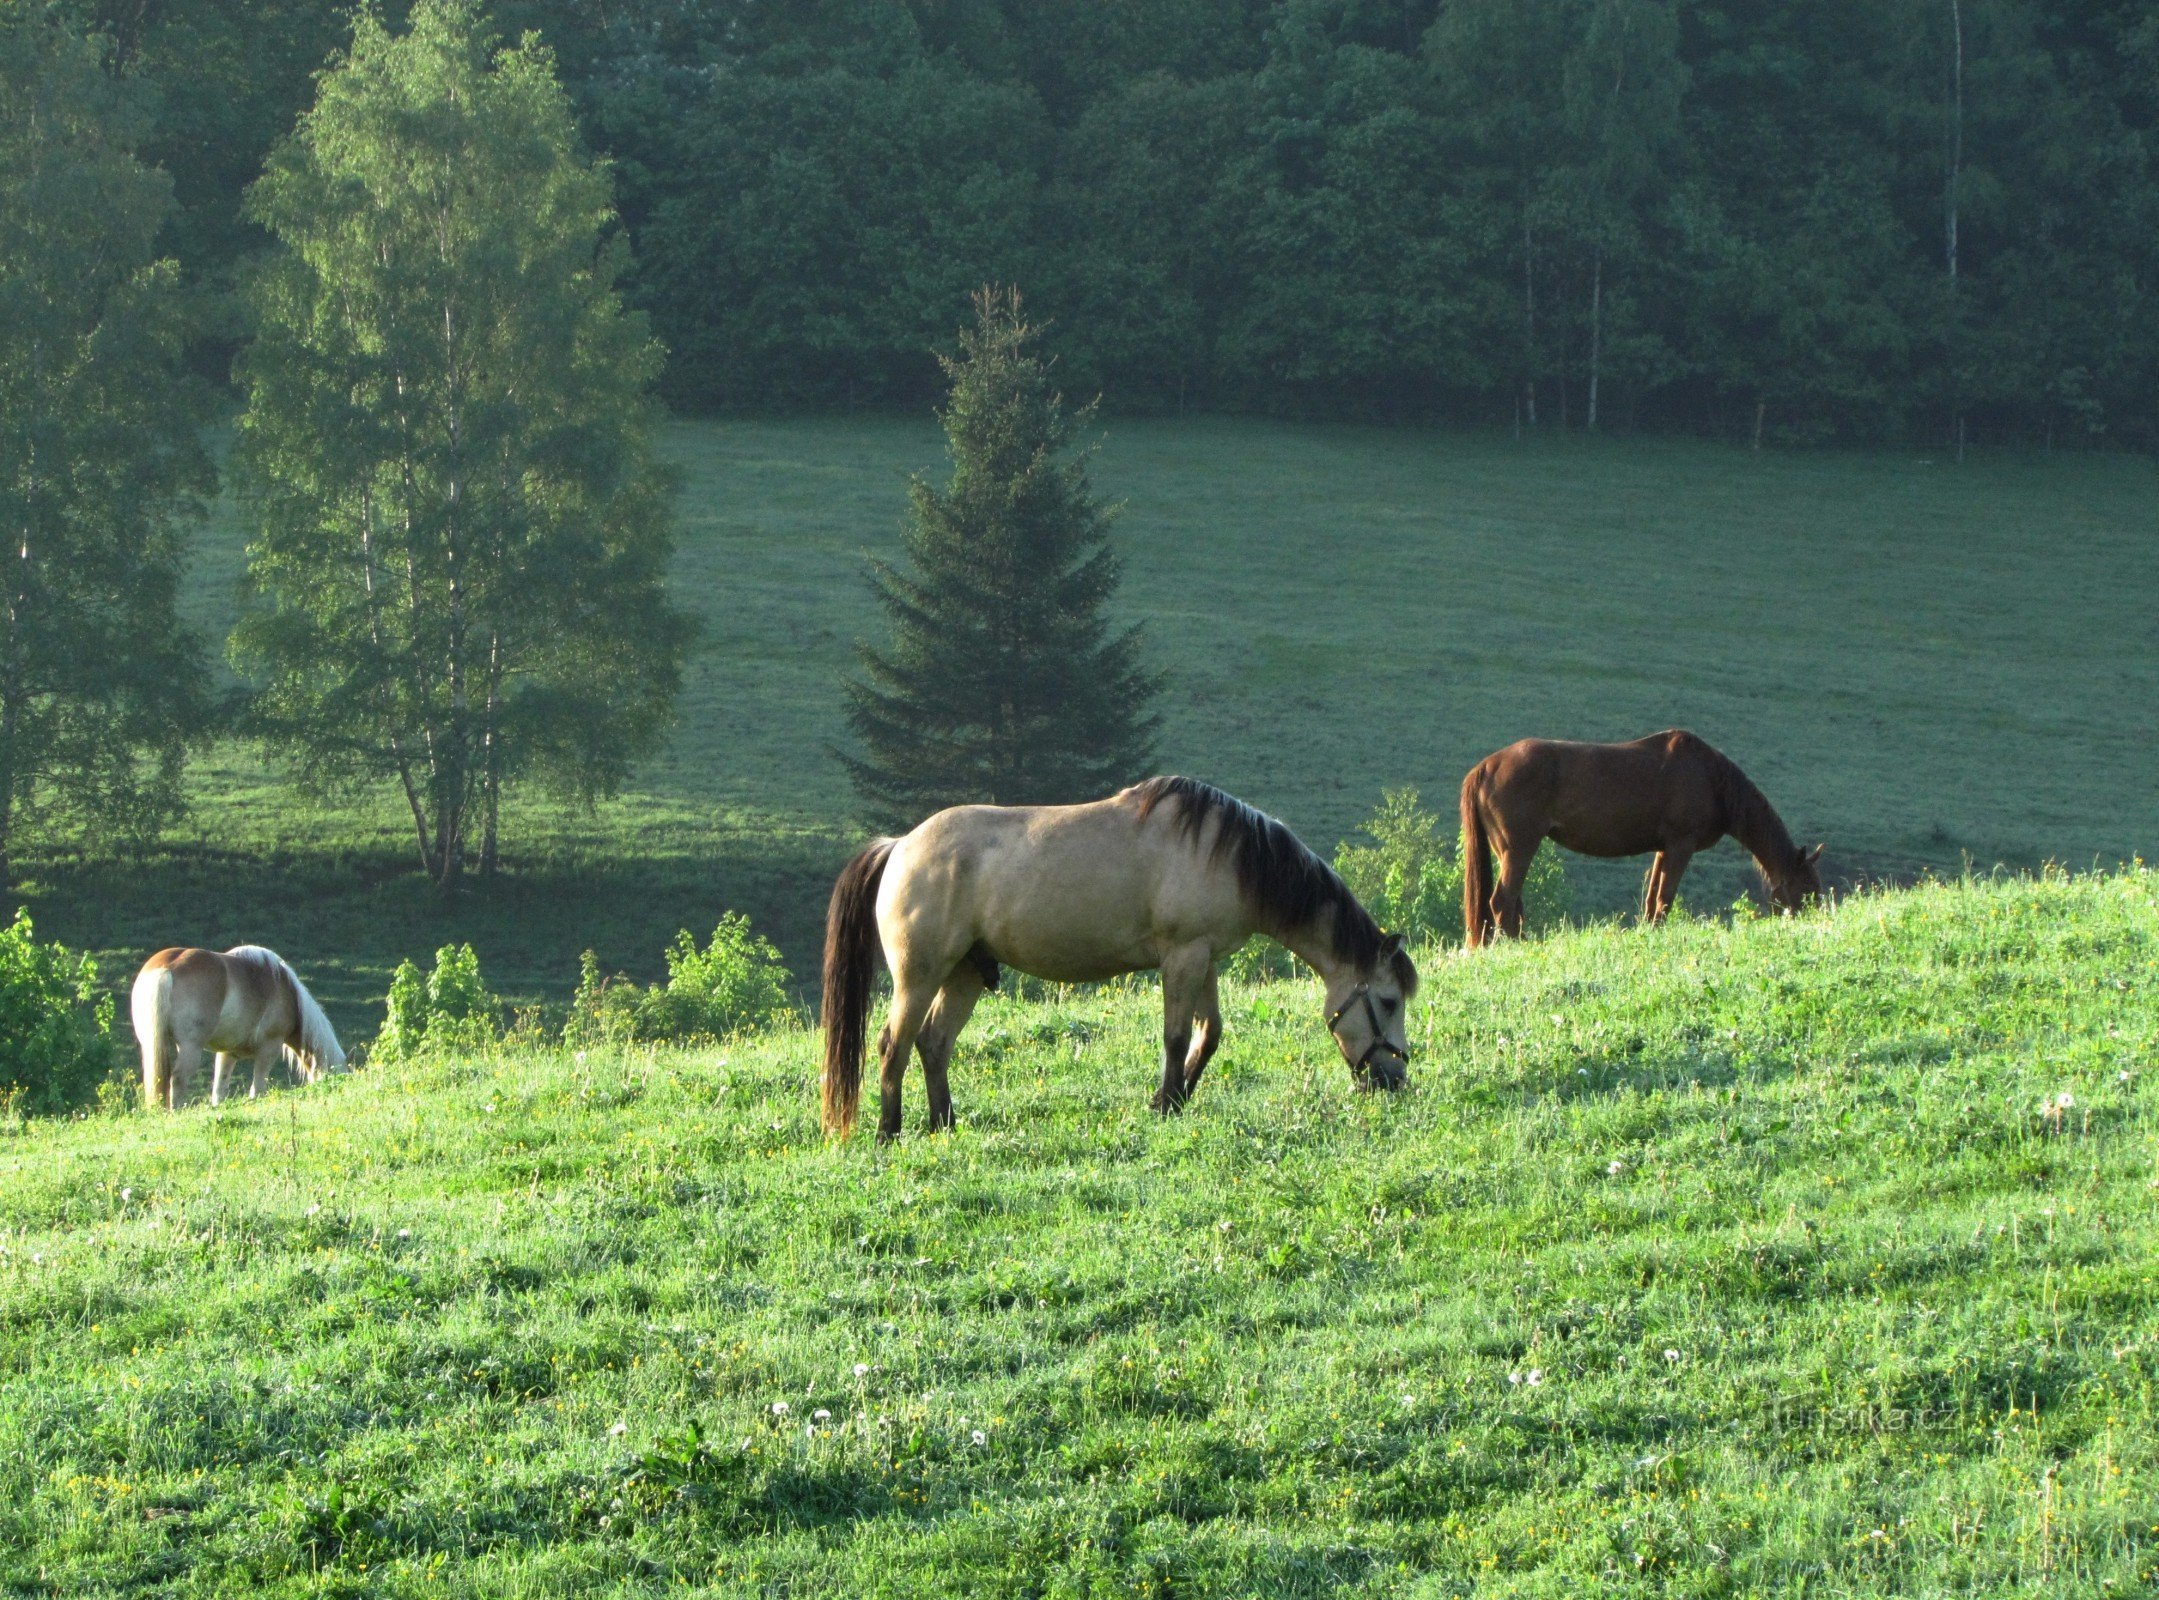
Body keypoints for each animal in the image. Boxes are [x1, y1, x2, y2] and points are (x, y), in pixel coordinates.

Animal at [129, 941, 345, 1105]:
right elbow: (258, 1088)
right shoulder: (269, 1048)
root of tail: (166, 968)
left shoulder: (227, 1053)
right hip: (190, 1047)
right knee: (179, 1079)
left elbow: (219, 1090)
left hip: (152, 1044)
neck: (287, 991)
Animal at [820, 773, 1416, 1140]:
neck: (1229, 855)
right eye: (1388, 1002)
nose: (1393, 1081)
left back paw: (944, 1123)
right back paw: (889, 1133)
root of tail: (899, 846)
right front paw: (1166, 1102)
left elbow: (1209, 1034)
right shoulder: (1181, 956)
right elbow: (1176, 1035)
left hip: (964, 974)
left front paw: (1178, 1097)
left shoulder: (1204, 958)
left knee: (934, 1043)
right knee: (893, 1045)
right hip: (918, 977)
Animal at [1459, 734, 1830, 950]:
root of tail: (1486, 767)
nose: (1819, 921)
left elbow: (1652, 898)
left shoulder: (1663, 848)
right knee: (1502, 901)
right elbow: (1665, 897)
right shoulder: (1681, 846)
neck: (1711, 778)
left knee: (1511, 903)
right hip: (1520, 848)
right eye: (1807, 886)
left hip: (1508, 851)